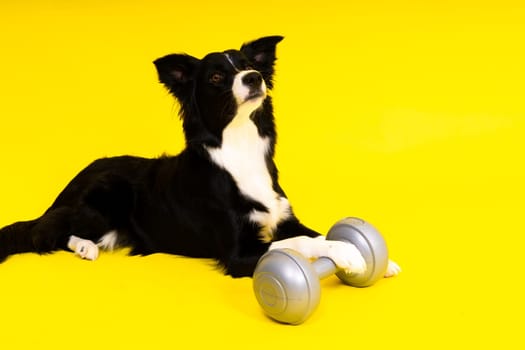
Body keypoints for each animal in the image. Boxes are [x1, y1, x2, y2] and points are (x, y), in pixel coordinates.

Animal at [0, 37, 398, 278]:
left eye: (249, 64)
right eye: (217, 77)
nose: (253, 78)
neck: (239, 146)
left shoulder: (284, 218)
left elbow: (317, 233)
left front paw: (376, 257)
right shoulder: (239, 253)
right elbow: (303, 243)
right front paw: (348, 254)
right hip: (105, 193)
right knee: (46, 231)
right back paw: (84, 246)